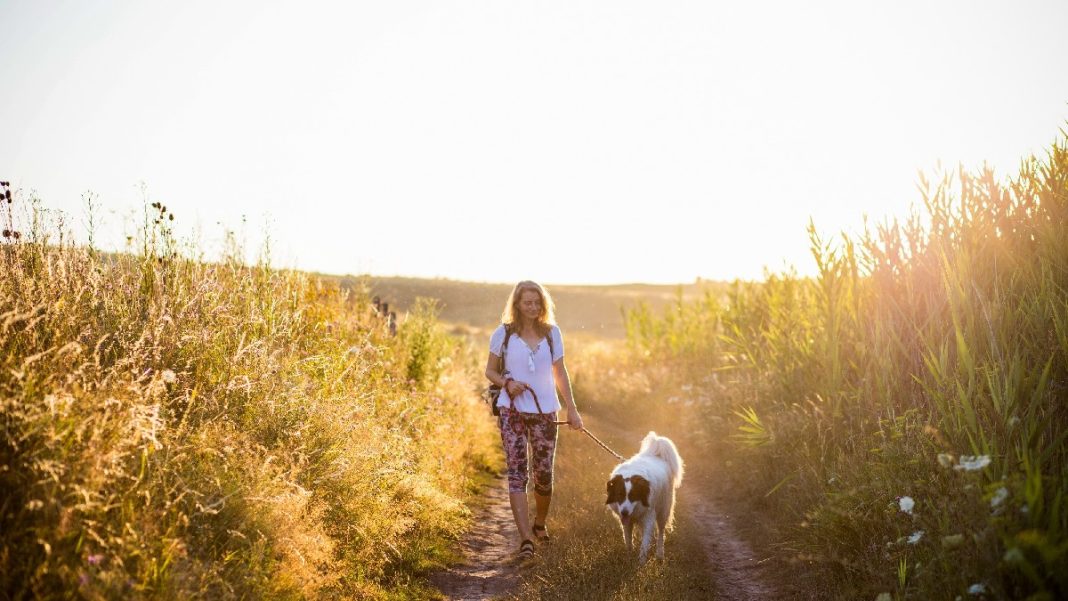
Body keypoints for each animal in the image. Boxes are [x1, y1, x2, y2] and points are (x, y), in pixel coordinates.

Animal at [602, 433, 683, 563]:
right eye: (620, 495)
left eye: (633, 496)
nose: (624, 512)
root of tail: (656, 453)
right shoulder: (626, 521)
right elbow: (628, 540)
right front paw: (629, 556)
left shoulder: (649, 516)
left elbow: (645, 543)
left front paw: (641, 562)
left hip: (664, 509)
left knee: (661, 532)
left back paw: (660, 554)